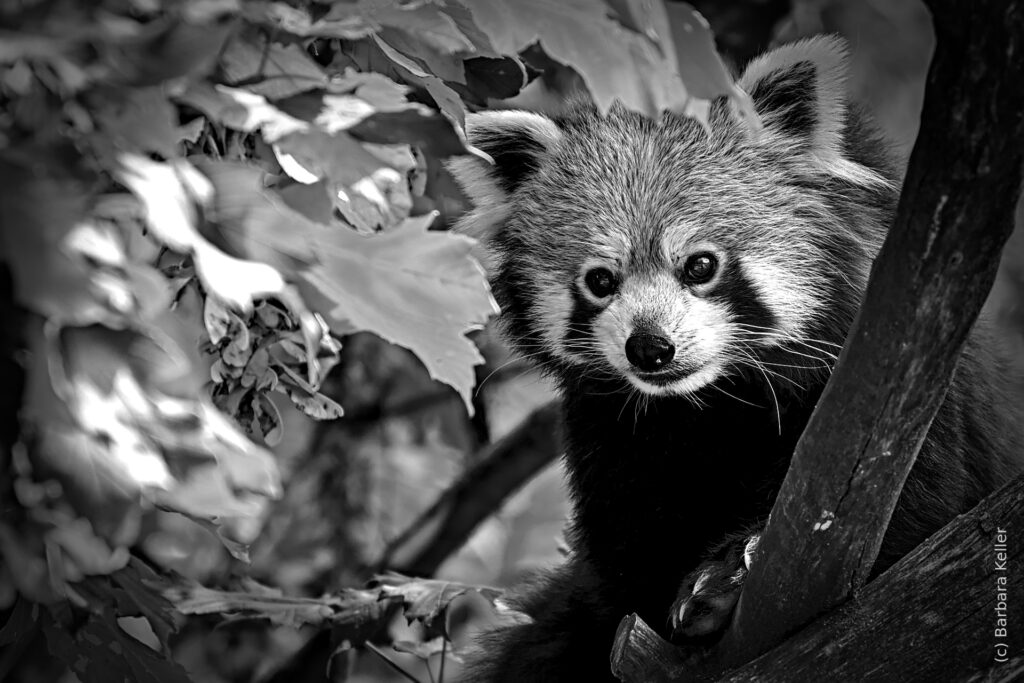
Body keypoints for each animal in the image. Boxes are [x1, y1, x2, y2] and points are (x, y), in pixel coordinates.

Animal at [448, 36, 1024, 679]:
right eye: (600, 280)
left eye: (700, 265)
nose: (650, 348)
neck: (711, 405)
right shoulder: (612, 445)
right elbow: (627, 567)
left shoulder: (909, 396)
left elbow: (916, 511)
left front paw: (725, 576)